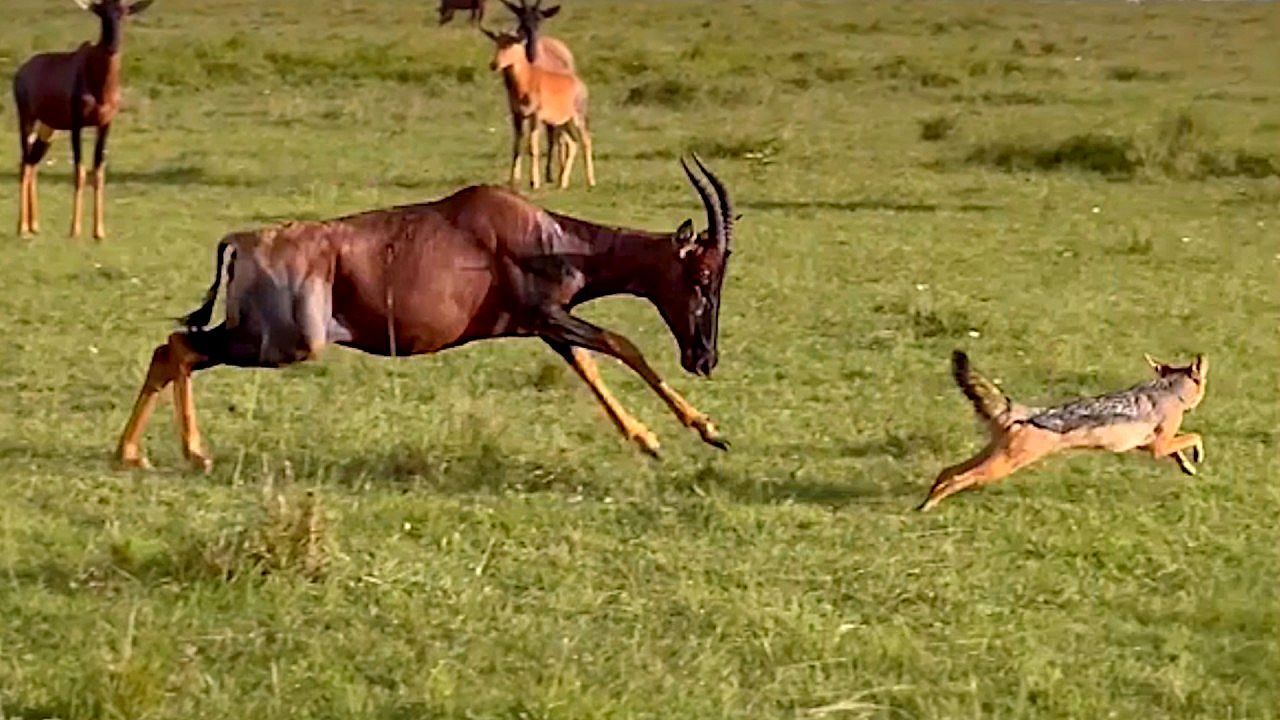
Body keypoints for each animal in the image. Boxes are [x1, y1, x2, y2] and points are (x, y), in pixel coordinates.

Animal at [13, 0, 153, 239]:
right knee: (24, 164)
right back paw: (22, 228)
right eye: (101, 13)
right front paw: (75, 231)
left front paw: (99, 232)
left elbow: (98, 172)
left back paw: (35, 225)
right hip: (27, 119)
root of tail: (22, 70)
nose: (113, 46)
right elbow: (79, 172)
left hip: (48, 128)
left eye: (124, 13)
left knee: (32, 164)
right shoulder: (77, 125)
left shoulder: (104, 126)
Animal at [115, 157, 734, 472]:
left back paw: (133, 454)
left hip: (256, 337)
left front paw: (650, 438)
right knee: (180, 347)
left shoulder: (546, 326)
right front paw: (706, 430)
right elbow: (621, 345)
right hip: (281, 344)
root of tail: (242, 242)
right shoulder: (547, 316)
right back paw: (191, 453)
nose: (704, 357)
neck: (544, 234)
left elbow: (590, 365)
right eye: (701, 276)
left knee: (169, 348)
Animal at [485, 29, 594, 190]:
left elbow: (532, 147)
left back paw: (591, 182)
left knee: (586, 141)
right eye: (497, 42)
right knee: (572, 143)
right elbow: (516, 147)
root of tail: (580, 84)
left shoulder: (535, 116)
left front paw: (534, 182)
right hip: (562, 123)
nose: (494, 64)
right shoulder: (517, 115)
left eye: (511, 43)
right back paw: (562, 183)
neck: (528, 79)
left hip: (578, 118)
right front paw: (512, 181)